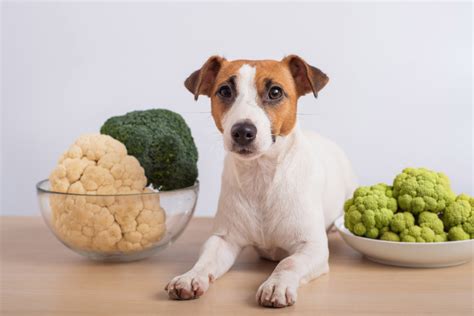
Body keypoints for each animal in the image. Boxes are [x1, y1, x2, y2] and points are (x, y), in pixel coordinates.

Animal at [165, 55, 354, 308]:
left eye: (275, 92)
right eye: (224, 91)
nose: (243, 131)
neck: (260, 176)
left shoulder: (312, 247)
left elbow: (288, 262)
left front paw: (276, 285)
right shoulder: (223, 239)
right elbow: (205, 259)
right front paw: (190, 276)